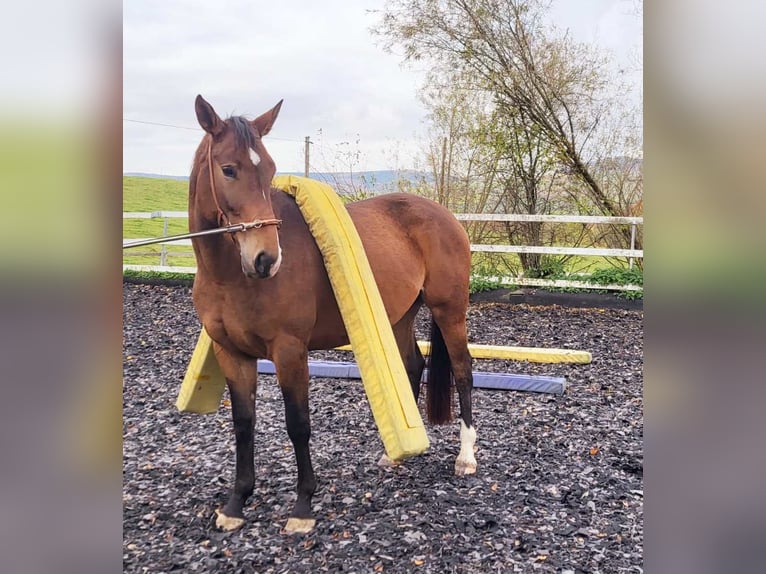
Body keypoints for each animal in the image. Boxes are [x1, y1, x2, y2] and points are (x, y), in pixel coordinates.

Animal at [189, 95, 476, 536]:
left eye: (269, 168)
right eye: (228, 169)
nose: (266, 258)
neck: (229, 276)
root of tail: (444, 214)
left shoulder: (290, 351)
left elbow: (298, 424)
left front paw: (303, 507)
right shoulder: (231, 353)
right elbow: (243, 424)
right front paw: (236, 504)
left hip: (450, 311)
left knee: (462, 370)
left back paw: (466, 458)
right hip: (398, 317)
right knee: (412, 365)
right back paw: (393, 455)